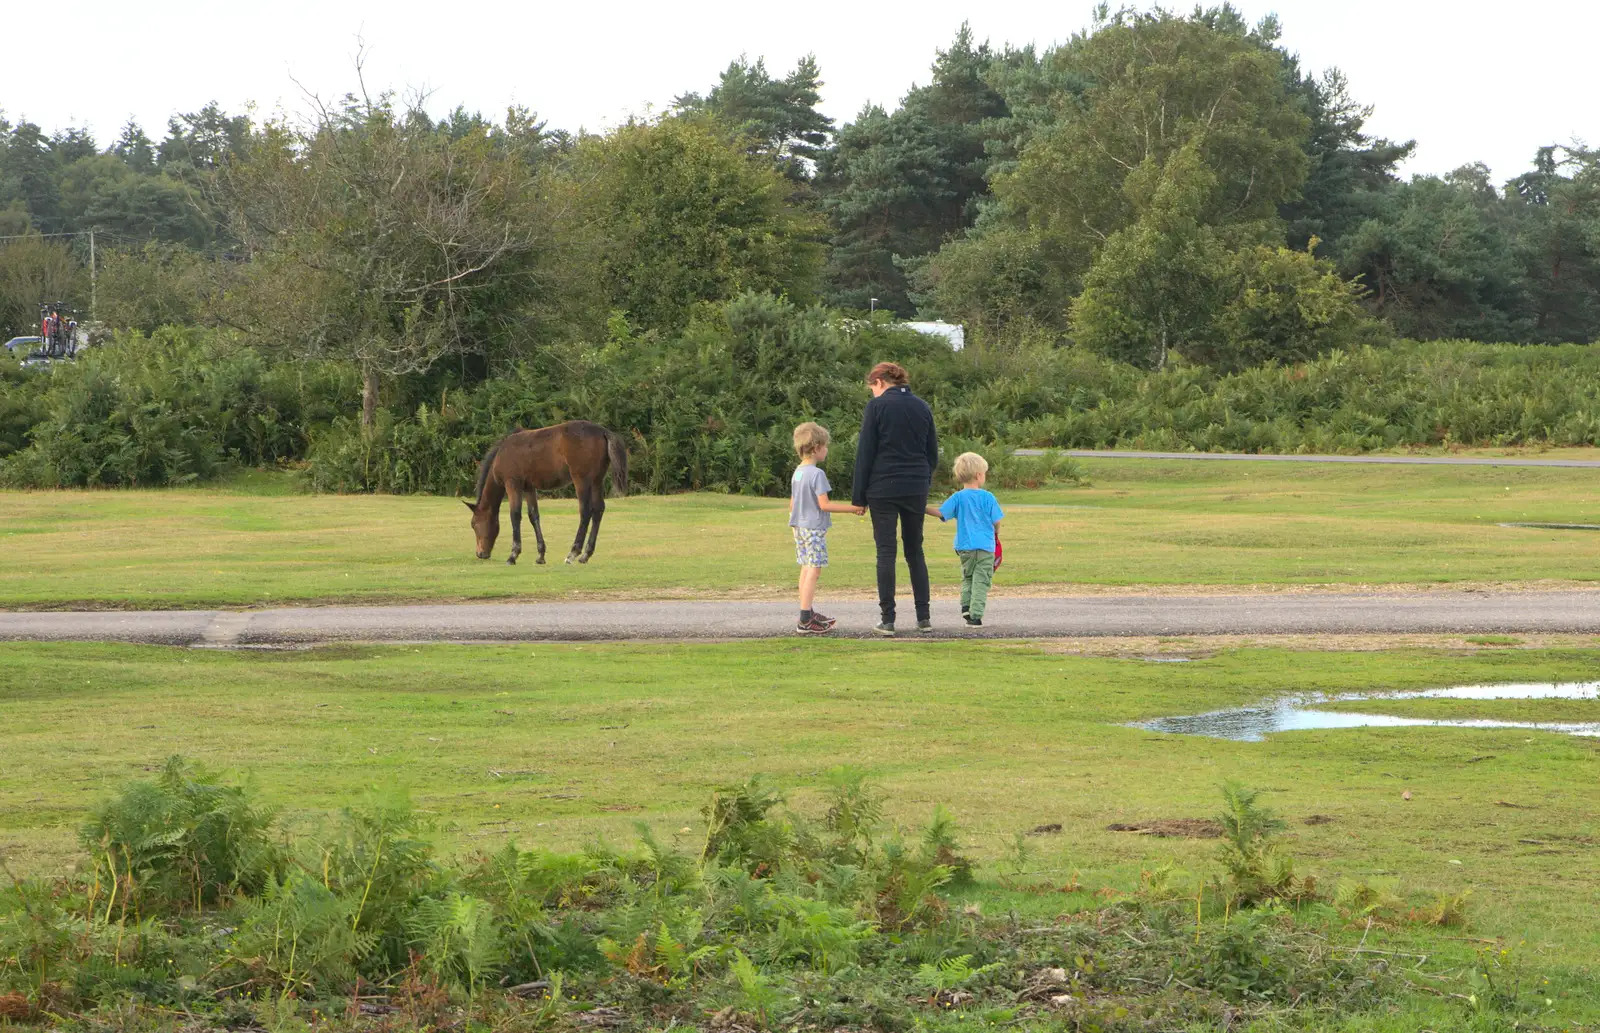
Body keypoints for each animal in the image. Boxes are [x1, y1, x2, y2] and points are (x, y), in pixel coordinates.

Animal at [467, 422, 627, 566]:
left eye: (474, 524)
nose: (480, 554)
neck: (502, 454)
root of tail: (602, 431)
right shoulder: (529, 487)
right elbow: (533, 516)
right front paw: (540, 555)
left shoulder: (512, 484)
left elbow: (515, 515)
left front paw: (513, 555)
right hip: (596, 480)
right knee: (598, 510)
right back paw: (585, 555)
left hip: (581, 480)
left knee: (586, 511)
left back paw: (573, 553)